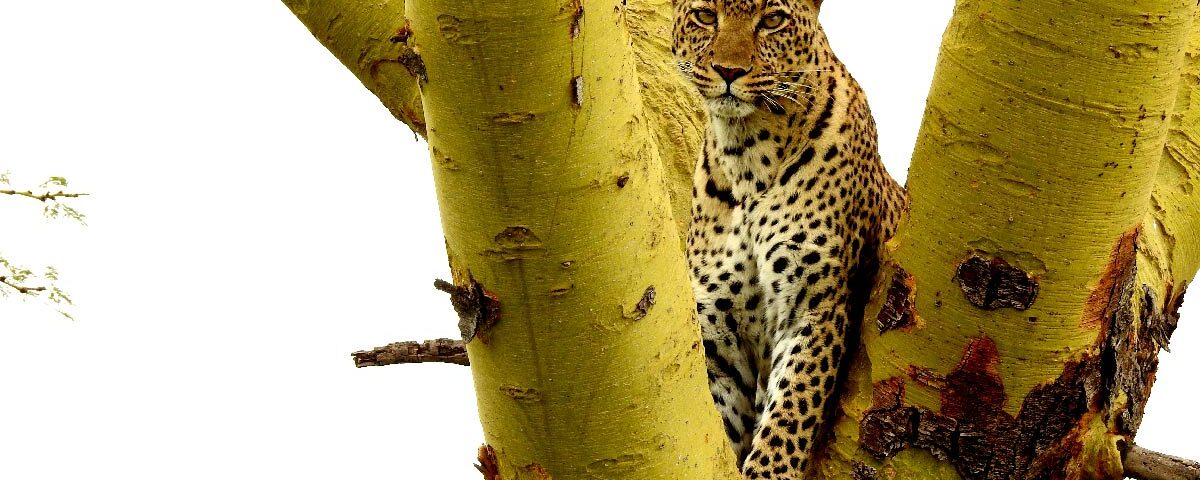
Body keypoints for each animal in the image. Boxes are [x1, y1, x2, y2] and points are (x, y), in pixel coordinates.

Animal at [671, 0, 908, 477]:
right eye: (705, 15)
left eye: (773, 20)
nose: (729, 70)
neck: (746, 156)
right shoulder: (719, 334)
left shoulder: (815, 307)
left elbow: (789, 415)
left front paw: (767, 468)